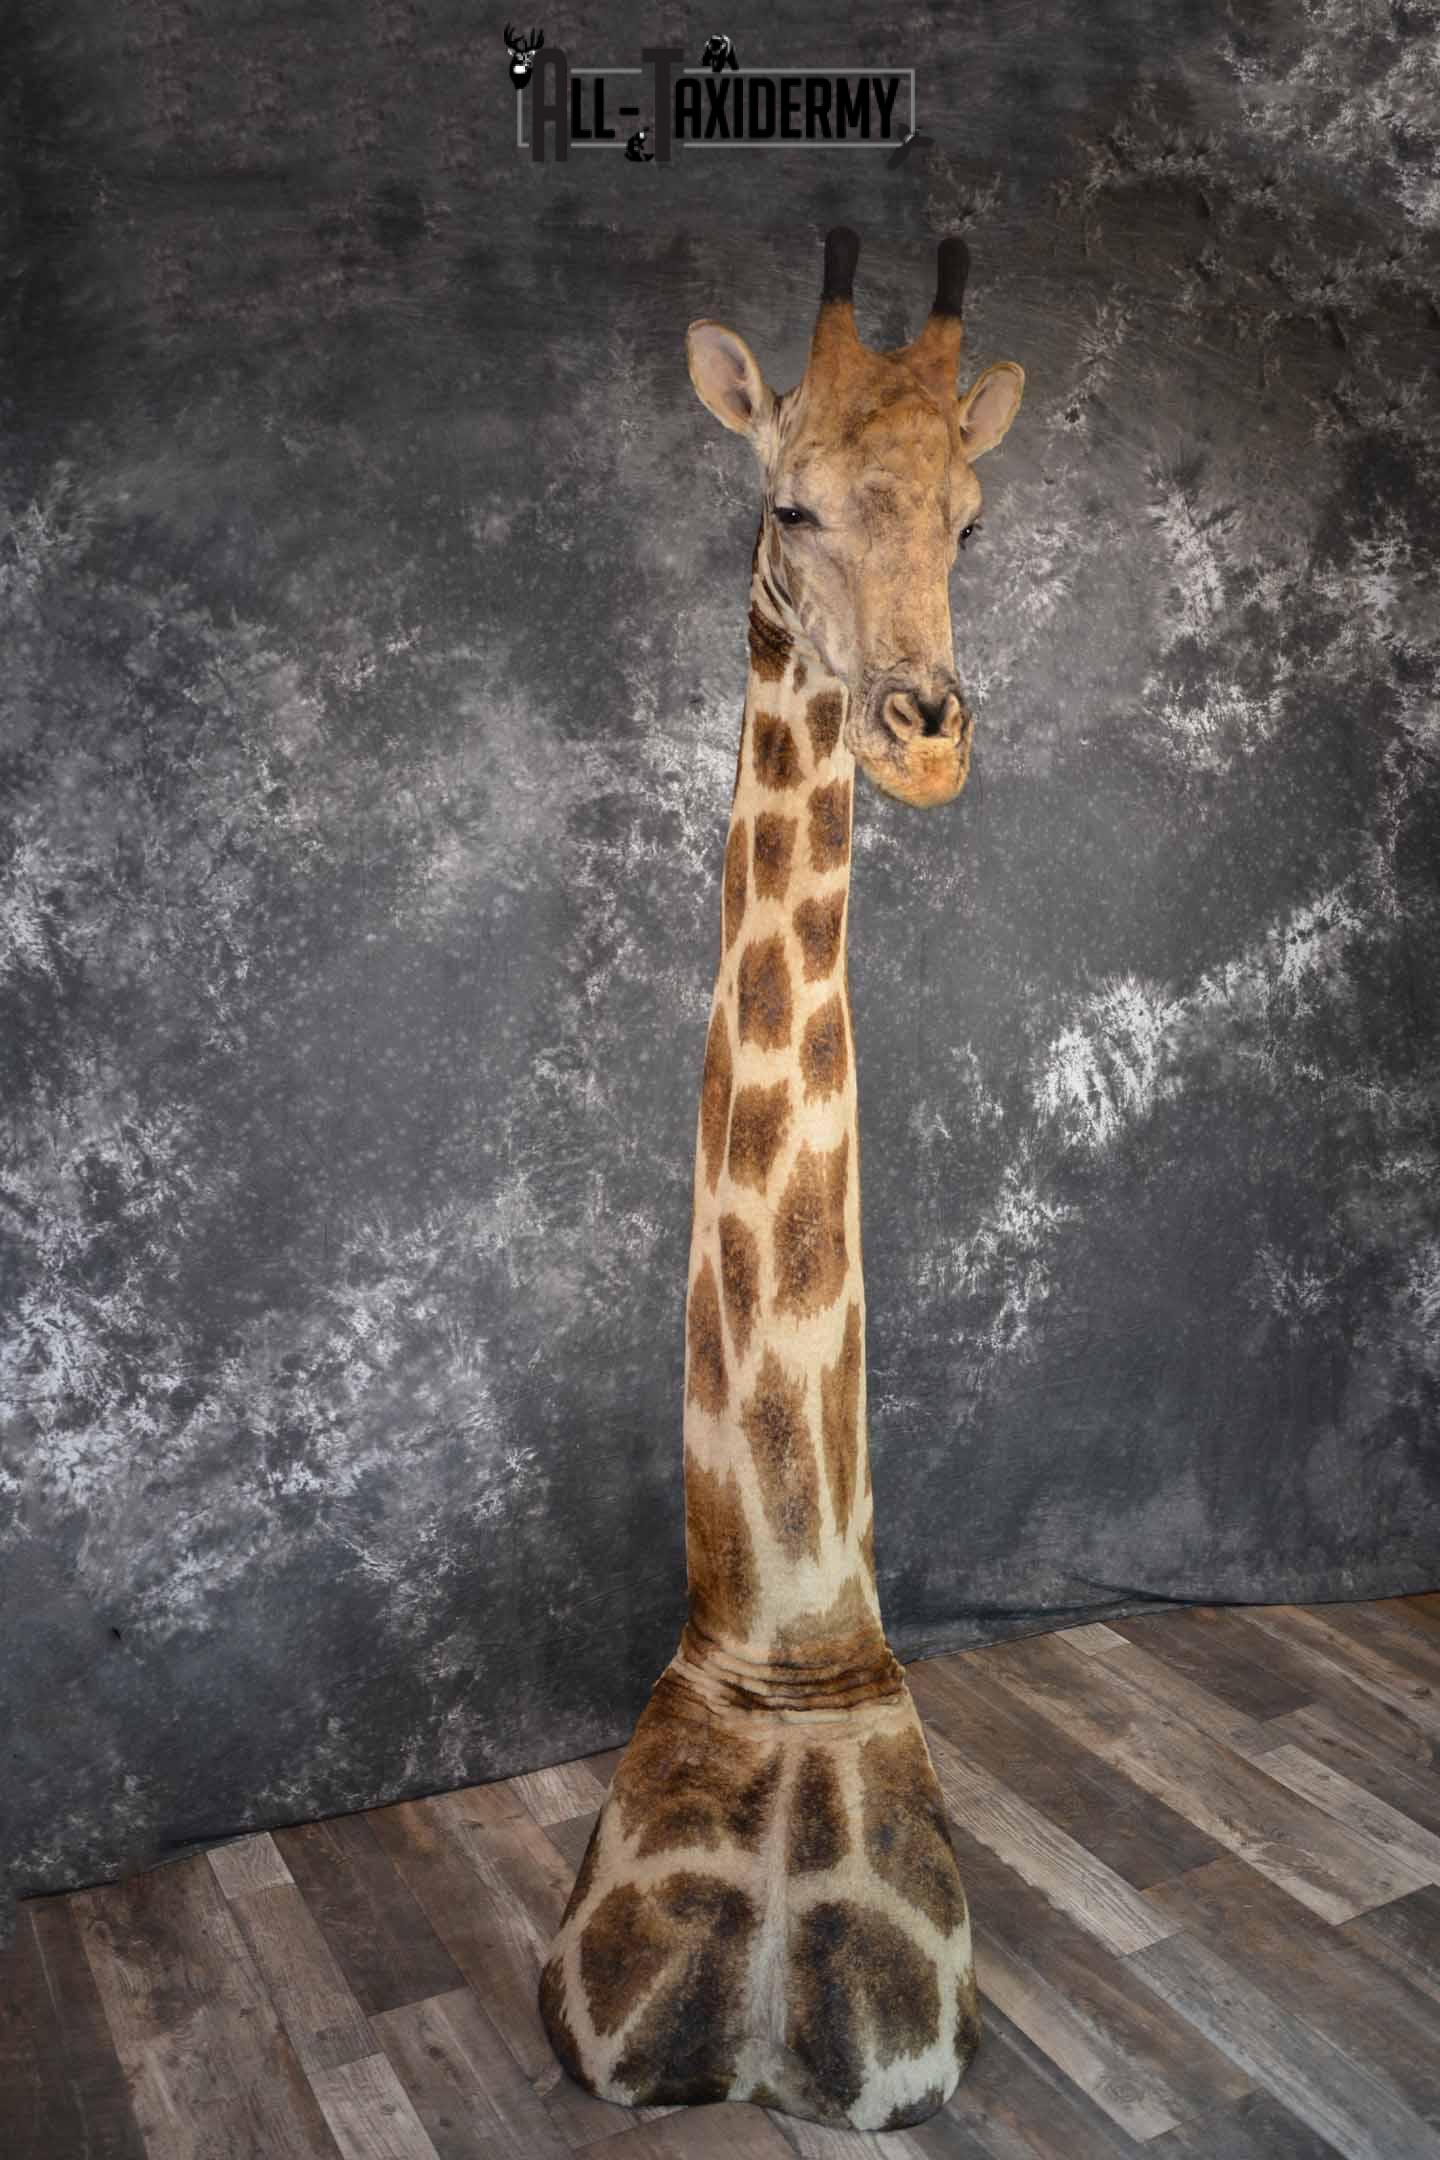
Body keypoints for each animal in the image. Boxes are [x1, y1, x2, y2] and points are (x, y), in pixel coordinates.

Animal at [539, 227, 1024, 2133]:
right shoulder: (594, 2022)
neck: (791, 1653)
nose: (926, 732)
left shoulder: (904, 2050)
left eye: (971, 520)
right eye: (791, 503)